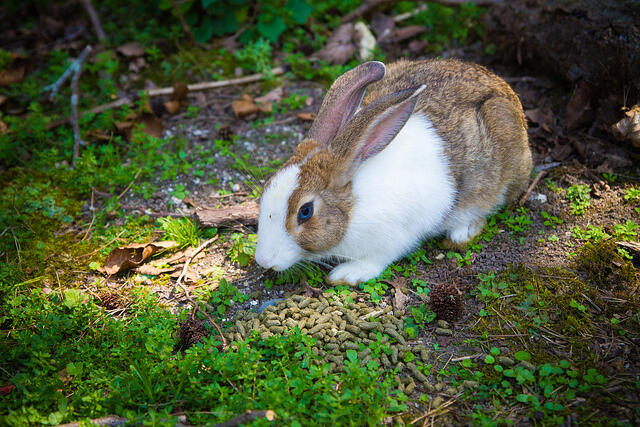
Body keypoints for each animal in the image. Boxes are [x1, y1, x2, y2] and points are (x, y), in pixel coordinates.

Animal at [254, 58, 528, 286]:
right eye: (267, 187)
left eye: (305, 212)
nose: (263, 261)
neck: (354, 204)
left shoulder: (397, 235)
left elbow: (377, 259)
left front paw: (347, 274)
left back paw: (461, 233)